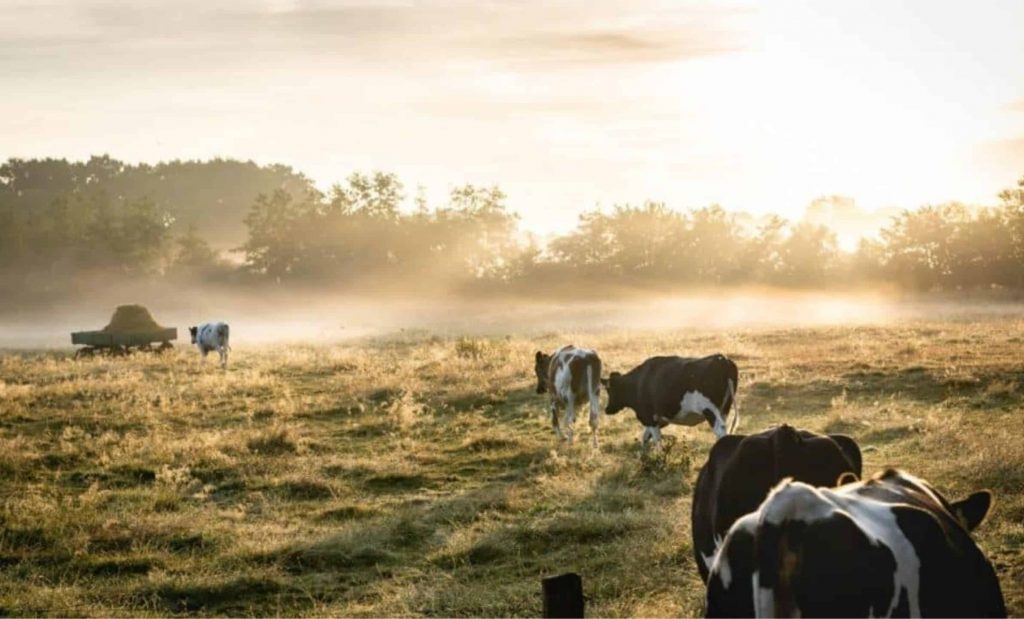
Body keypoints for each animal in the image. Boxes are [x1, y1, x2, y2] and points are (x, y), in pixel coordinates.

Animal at [598, 358, 737, 444]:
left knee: (720, 429)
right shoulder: (659, 419)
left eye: (609, 390)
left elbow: (656, 439)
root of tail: (722, 359)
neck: (639, 382)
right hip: (724, 409)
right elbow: (645, 437)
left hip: (709, 409)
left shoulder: (649, 417)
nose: (607, 409)